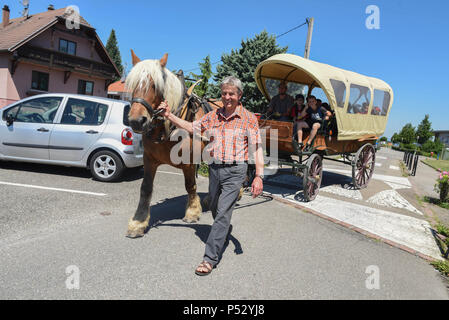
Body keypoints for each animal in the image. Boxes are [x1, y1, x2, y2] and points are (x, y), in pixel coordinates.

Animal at [124, 50, 212, 238]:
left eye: (155, 86)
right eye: (133, 84)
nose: (136, 121)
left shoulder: (189, 163)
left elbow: (190, 185)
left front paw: (192, 212)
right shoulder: (149, 159)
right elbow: (146, 188)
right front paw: (139, 221)